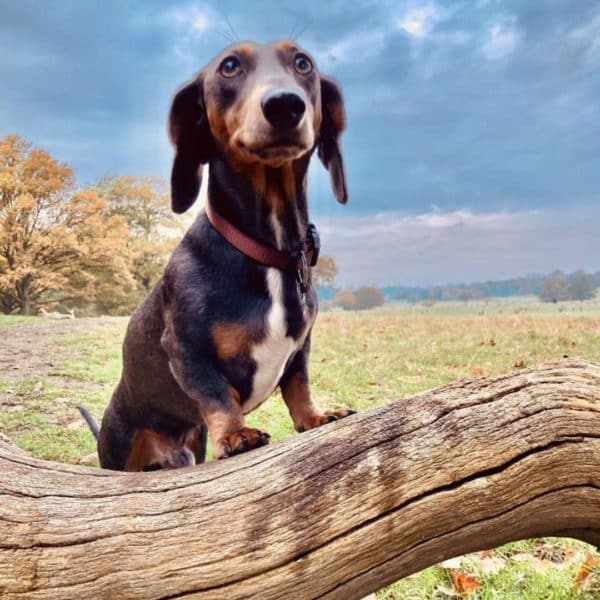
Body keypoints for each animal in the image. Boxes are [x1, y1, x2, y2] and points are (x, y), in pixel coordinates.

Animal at [79, 39, 352, 472]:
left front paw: (315, 416)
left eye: (303, 62)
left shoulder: (301, 347)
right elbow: (218, 393)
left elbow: (298, 383)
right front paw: (237, 435)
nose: (285, 105)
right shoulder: (185, 349)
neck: (268, 253)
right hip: (120, 449)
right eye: (229, 66)